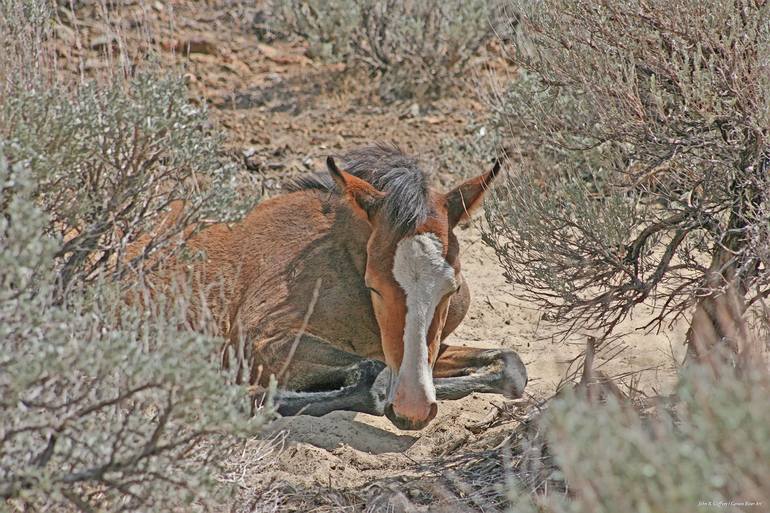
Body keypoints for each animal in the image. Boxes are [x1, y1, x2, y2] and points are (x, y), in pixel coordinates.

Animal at [164, 146, 520, 430]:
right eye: (374, 287)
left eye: (451, 289)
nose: (413, 408)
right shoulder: (258, 340)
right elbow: (372, 377)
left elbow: (511, 366)